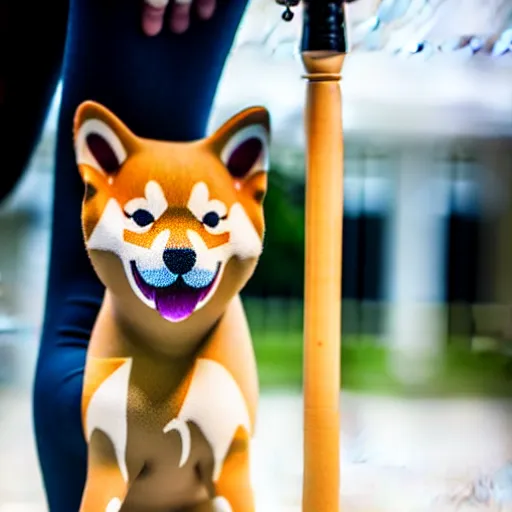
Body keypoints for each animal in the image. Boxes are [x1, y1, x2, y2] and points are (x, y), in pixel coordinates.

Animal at [74, 101, 272, 512]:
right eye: (141, 217)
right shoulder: (108, 455)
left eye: (211, 219)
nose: (179, 256)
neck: (170, 349)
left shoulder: (228, 454)